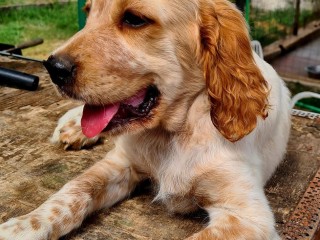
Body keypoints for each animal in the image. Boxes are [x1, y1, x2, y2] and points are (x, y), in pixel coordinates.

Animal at [0, 0, 292, 239]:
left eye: (134, 19)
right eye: (88, 12)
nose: (53, 68)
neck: (175, 131)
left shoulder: (248, 218)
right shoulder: (122, 162)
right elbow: (75, 189)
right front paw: (24, 225)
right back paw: (75, 128)